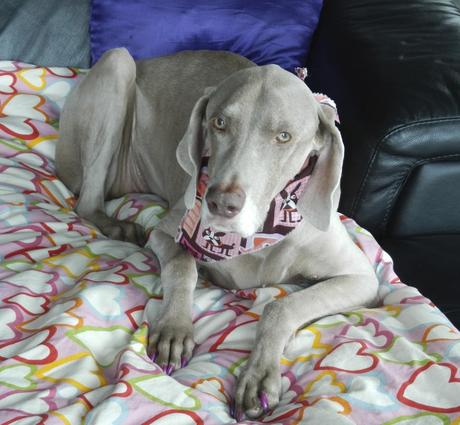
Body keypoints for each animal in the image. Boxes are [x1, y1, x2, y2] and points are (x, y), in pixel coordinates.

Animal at [54, 48, 378, 420]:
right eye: (219, 123)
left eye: (283, 136)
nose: (220, 203)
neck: (255, 237)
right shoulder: (167, 232)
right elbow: (183, 265)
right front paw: (175, 329)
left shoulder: (362, 278)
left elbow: (282, 306)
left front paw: (260, 376)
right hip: (116, 65)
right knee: (87, 202)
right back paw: (116, 224)